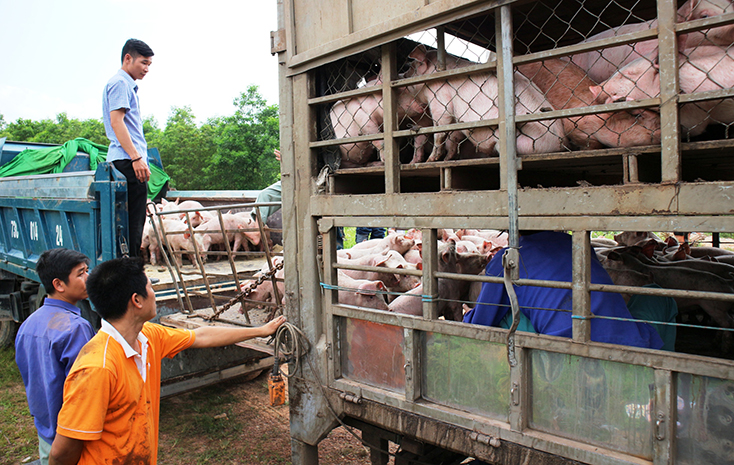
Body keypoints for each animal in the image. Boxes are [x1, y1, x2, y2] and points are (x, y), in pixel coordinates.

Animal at [406, 44, 568, 161]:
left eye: (411, 69)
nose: (402, 74)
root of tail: (561, 143)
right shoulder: (458, 117)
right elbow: (454, 137)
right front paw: (447, 160)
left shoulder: (440, 99)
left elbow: (440, 130)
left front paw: (430, 160)